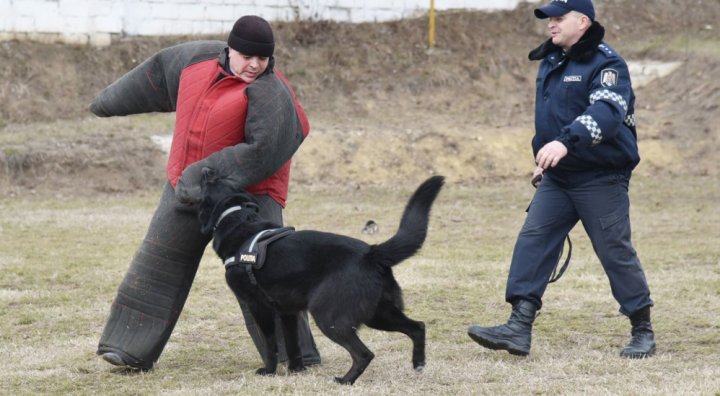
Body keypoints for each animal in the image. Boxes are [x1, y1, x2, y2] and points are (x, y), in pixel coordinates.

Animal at [198, 170, 444, 384]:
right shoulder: (288, 311)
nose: (207, 169)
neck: (236, 217)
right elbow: (293, 345)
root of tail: (372, 253)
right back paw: (418, 363)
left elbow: (270, 344)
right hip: (378, 314)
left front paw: (268, 371)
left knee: (364, 353)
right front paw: (296, 370)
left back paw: (345, 381)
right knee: (417, 327)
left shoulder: (259, 306)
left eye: (210, 182)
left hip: (329, 317)